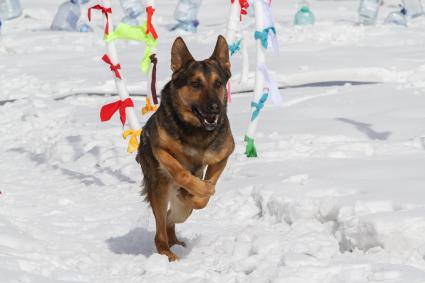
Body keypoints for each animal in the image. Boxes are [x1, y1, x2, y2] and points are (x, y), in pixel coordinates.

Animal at [136, 36, 234, 264]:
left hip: (180, 211)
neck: (196, 130)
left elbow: (205, 196)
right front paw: (199, 187)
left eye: (218, 83)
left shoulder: (223, 154)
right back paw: (169, 254)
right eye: (195, 84)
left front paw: (200, 192)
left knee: (171, 219)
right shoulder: (160, 149)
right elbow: (181, 172)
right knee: (160, 233)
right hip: (159, 190)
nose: (215, 107)